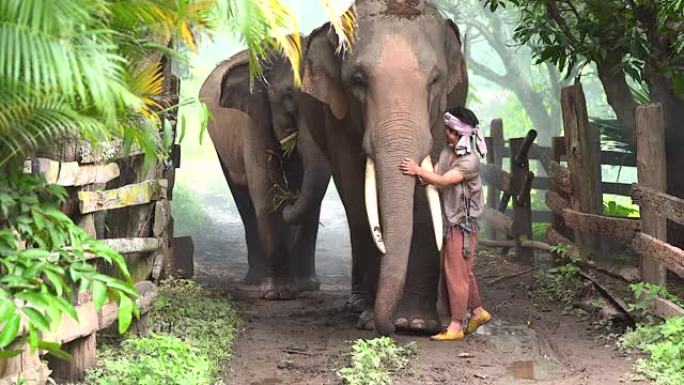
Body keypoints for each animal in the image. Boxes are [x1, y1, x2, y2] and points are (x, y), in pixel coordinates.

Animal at [199, 48, 332, 298]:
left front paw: (305, 288)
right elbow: (266, 190)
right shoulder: (253, 118)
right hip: (220, 146)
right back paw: (252, 283)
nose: (290, 201)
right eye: (288, 95)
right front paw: (277, 294)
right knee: (244, 202)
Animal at [296, 0, 468, 332]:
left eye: (435, 79)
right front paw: (372, 321)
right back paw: (359, 305)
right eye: (358, 80)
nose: (386, 327)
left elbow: (428, 193)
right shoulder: (338, 117)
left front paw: (415, 324)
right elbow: (356, 190)